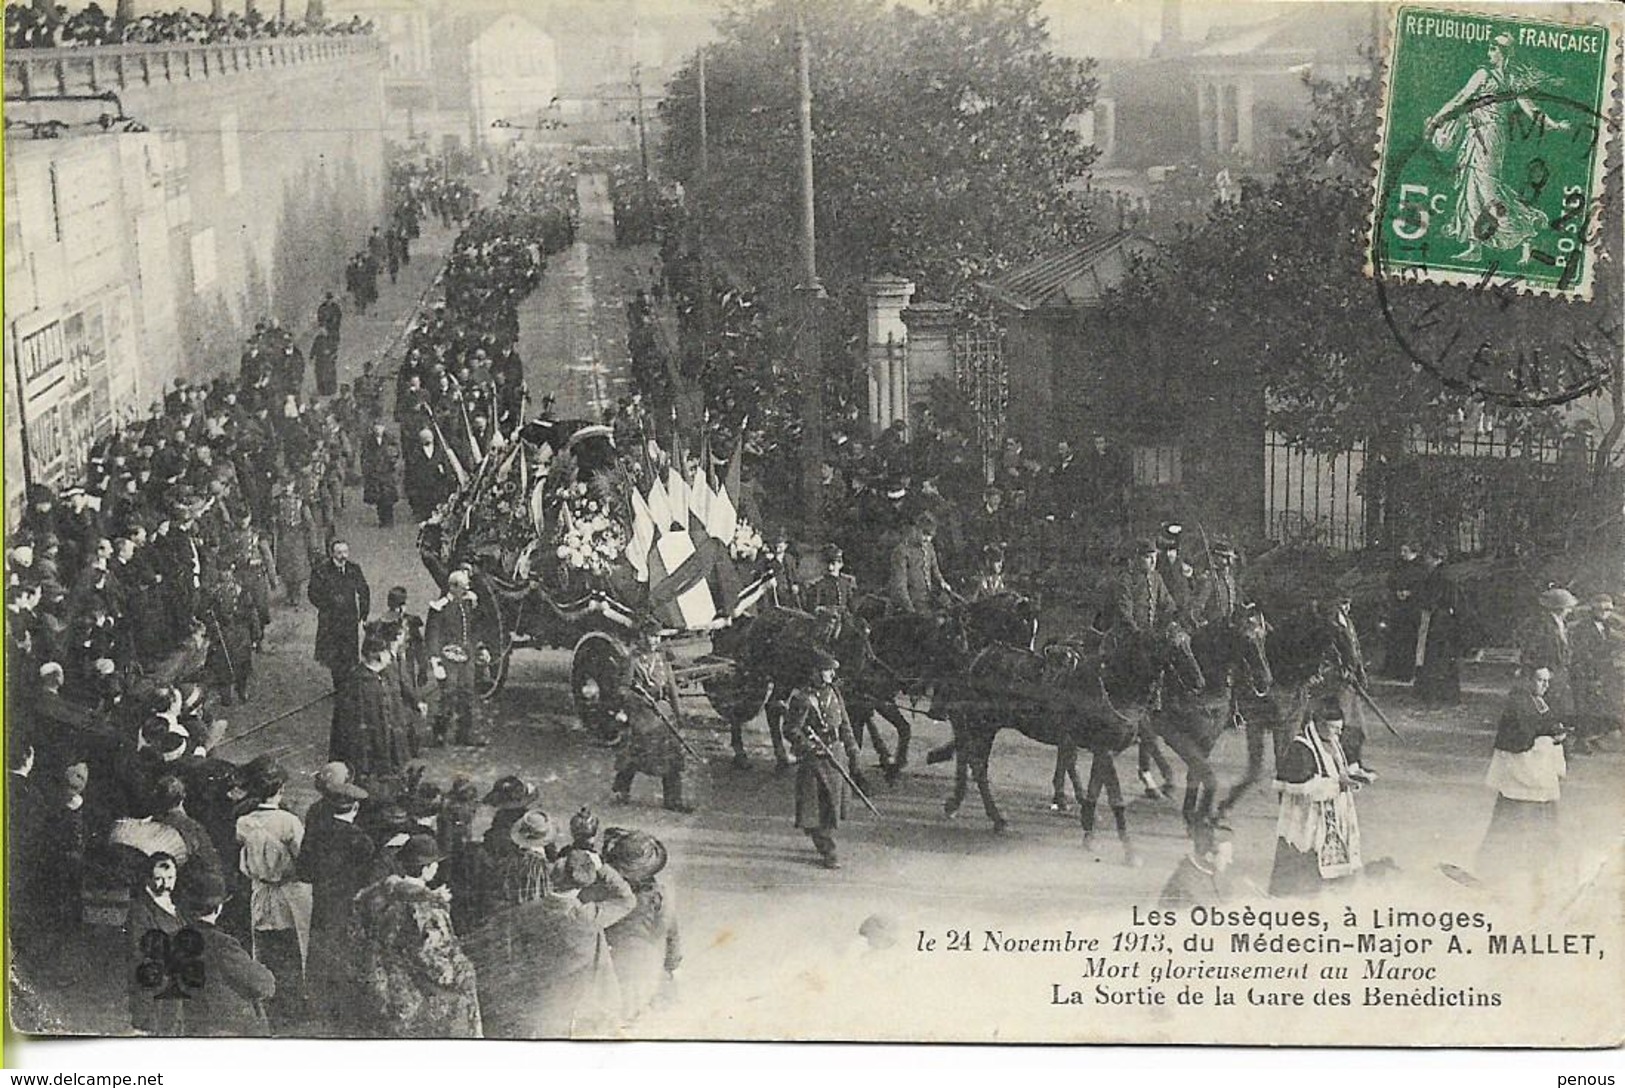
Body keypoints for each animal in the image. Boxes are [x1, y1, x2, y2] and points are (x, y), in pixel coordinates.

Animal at [936, 626, 1202, 863]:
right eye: (1174, 648)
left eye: (1190, 643)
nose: (1199, 682)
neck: (1113, 684)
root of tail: (976, 659)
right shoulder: (1105, 749)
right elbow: (1116, 799)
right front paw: (1129, 850)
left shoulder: (1100, 750)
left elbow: (1094, 789)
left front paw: (1088, 832)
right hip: (983, 725)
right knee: (978, 766)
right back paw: (995, 817)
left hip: (985, 726)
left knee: (974, 762)